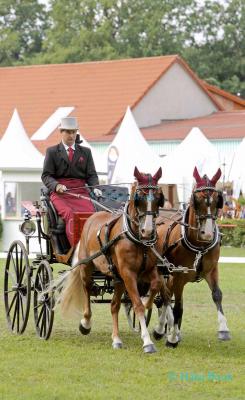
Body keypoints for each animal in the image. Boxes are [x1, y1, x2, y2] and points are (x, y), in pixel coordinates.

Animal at [59, 166, 167, 354]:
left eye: (158, 197)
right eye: (139, 197)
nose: (147, 231)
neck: (136, 238)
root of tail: (91, 218)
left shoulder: (148, 270)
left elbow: (155, 286)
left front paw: (147, 305)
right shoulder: (128, 273)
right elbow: (137, 304)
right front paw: (147, 342)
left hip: (118, 279)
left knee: (114, 305)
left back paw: (116, 339)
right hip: (87, 268)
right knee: (87, 290)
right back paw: (85, 323)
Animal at [154, 166, 231, 346]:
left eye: (218, 199)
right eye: (197, 199)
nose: (207, 233)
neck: (199, 247)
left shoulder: (212, 270)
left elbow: (217, 295)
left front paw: (223, 329)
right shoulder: (178, 276)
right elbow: (178, 307)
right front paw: (172, 338)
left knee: (166, 296)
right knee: (165, 296)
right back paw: (163, 329)